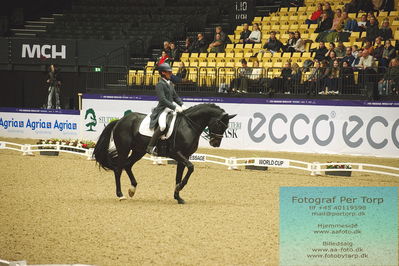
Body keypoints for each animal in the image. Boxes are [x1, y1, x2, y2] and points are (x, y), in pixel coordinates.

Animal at [94, 103, 238, 204]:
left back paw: (132, 190)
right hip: (124, 149)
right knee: (118, 169)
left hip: (138, 151)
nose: (215, 143)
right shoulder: (176, 153)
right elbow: (191, 167)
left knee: (127, 165)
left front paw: (178, 196)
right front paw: (179, 188)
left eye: (226, 127)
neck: (188, 126)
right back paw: (121, 195)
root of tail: (120, 120)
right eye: (219, 124)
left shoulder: (184, 156)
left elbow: (179, 176)